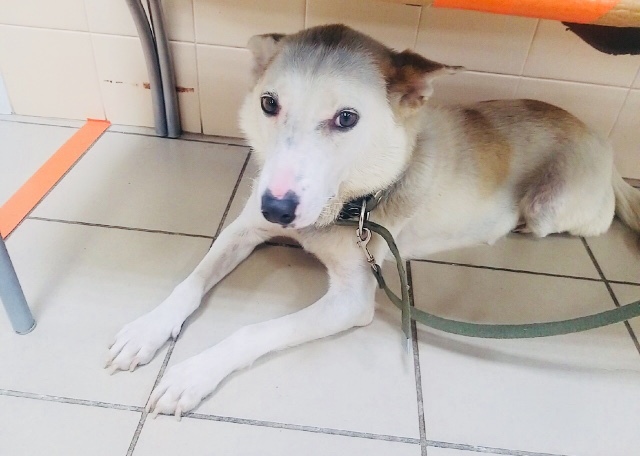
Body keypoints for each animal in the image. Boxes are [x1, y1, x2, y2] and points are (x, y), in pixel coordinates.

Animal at [105, 24, 640, 417]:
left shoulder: (351, 300)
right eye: (268, 103)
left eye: (346, 118)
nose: (276, 209)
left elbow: (252, 332)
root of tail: (605, 146)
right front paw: (147, 329)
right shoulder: (245, 228)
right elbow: (190, 282)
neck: (345, 208)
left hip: (551, 207)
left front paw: (192, 374)